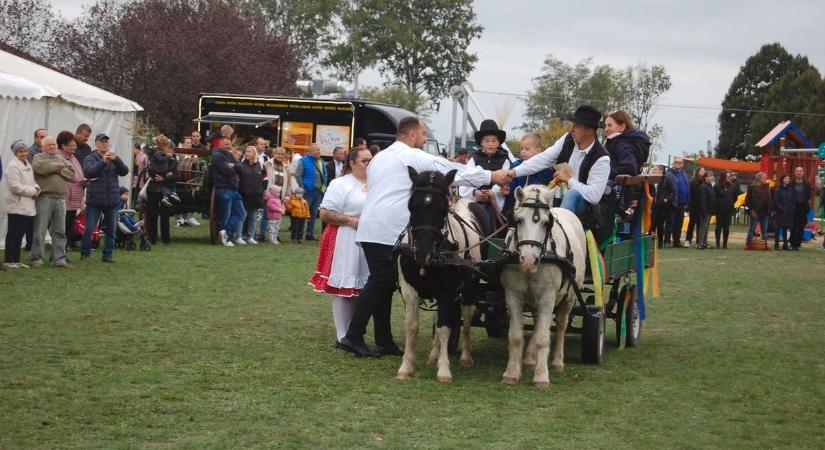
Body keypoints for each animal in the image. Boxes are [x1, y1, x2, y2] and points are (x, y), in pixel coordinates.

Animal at [394, 167, 486, 382]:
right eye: (412, 205)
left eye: (443, 209)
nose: (423, 252)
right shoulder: (409, 289)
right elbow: (412, 326)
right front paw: (406, 367)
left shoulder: (447, 291)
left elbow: (444, 327)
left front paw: (444, 370)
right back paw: (434, 354)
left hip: (471, 286)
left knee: (466, 318)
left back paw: (466, 357)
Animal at [498, 184, 588, 386]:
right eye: (518, 220)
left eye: (547, 223)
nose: (528, 260)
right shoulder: (512, 295)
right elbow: (516, 336)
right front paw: (511, 373)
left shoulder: (548, 296)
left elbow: (542, 337)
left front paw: (541, 376)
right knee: (538, 321)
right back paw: (530, 358)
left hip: (569, 297)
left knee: (561, 325)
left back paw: (556, 362)